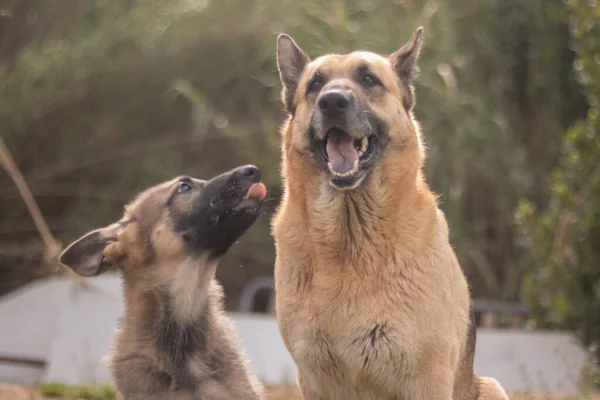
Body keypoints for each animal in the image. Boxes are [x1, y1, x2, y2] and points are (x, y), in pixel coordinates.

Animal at [274, 28, 510, 400]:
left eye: (369, 79)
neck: (351, 235)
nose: (332, 102)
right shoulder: (314, 378)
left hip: (491, 387)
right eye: (315, 84)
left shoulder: (427, 378)